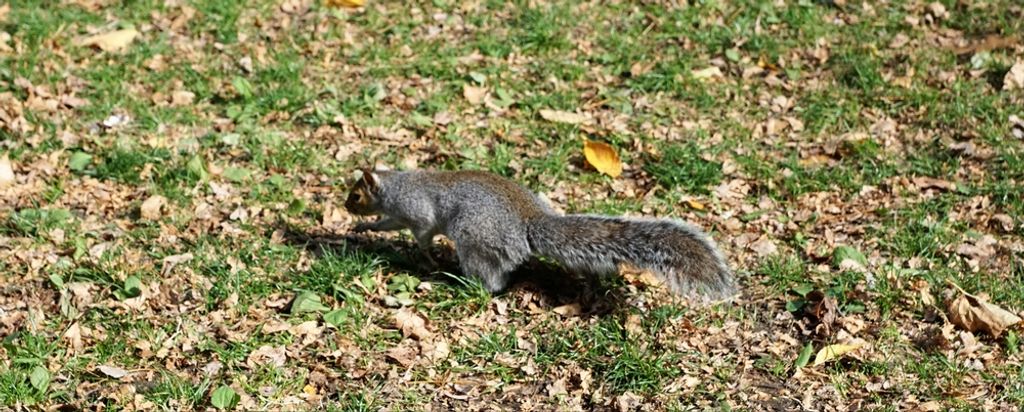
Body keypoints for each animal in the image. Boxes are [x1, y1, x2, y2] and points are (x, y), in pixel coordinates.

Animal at [344, 169, 736, 301]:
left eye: (357, 195)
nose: (347, 206)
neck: (396, 184)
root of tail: (529, 223)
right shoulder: (398, 215)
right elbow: (388, 224)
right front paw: (365, 227)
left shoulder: (417, 213)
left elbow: (422, 235)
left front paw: (425, 258)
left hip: (474, 240)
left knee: (494, 280)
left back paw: (462, 284)